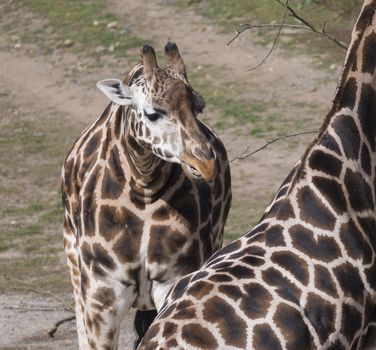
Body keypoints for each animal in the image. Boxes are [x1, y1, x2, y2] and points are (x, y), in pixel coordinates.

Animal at [61, 41, 232, 350]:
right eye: (153, 113)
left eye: (199, 108)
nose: (206, 164)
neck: (143, 191)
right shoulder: (100, 298)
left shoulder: (173, 282)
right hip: (76, 271)